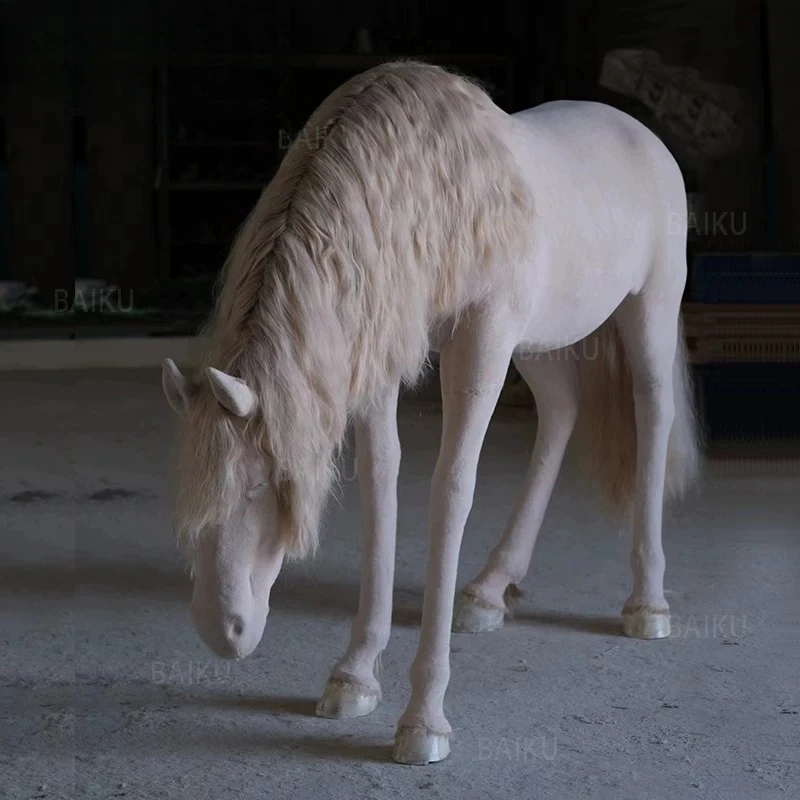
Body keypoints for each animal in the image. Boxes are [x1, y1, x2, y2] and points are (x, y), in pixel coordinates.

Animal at [161, 60, 701, 765]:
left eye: (259, 486)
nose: (221, 630)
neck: (421, 191)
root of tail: (642, 133)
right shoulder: (381, 345)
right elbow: (380, 483)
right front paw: (354, 676)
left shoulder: (481, 340)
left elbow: (452, 489)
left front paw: (424, 721)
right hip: (542, 342)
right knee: (560, 413)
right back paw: (490, 589)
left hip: (648, 312)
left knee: (652, 416)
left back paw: (647, 605)